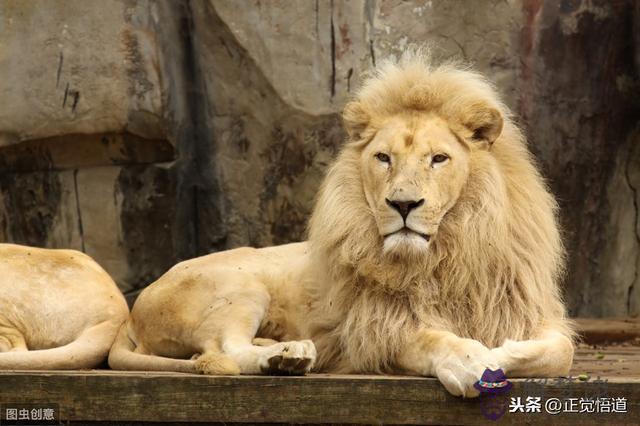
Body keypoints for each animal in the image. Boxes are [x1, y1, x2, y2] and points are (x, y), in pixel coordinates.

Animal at [109, 50, 576, 400]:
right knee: (226, 350)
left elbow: (562, 349)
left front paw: (502, 349)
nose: (403, 204)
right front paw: (471, 360)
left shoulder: (527, 308)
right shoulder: (373, 329)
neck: (447, 253)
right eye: (383, 158)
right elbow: (431, 339)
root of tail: (133, 312)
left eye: (439, 159)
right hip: (240, 285)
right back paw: (286, 356)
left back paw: (286, 350)